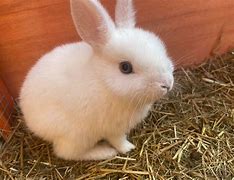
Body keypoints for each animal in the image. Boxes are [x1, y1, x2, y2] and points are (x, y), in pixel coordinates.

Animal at [19, 0, 174, 160]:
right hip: (77, 136)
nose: (167, 84)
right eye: (125, 67)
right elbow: (118, 141)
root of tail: (29, 119)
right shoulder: (113, 128)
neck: (104, 82)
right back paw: (104, 152)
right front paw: (128, 148)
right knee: (66, 153)